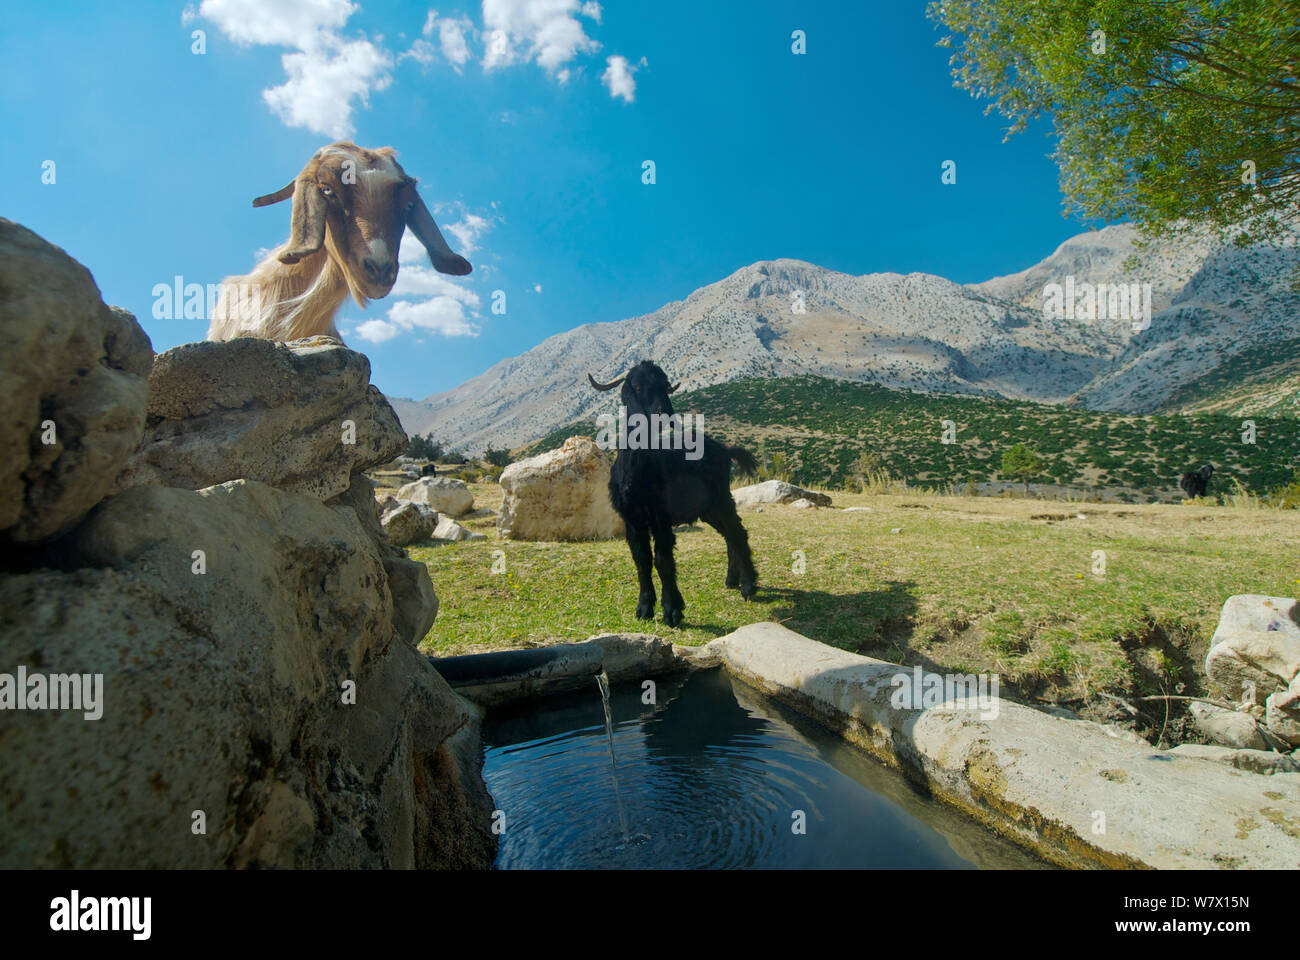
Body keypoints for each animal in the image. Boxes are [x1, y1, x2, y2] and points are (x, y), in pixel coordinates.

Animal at [592, 361, 759, 629]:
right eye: (637, 386)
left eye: (665, 386)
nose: (664, 414)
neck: (637, 472)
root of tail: (724, 449)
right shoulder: (631, 520)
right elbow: (641, 559)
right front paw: (644, 608)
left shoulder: (661, 517)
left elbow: (662, 559)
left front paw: (672, 610)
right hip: (708, 509)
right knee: (728, 535)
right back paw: (732, 580)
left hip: (722, 498)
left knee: (737, 533)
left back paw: (748, 585)